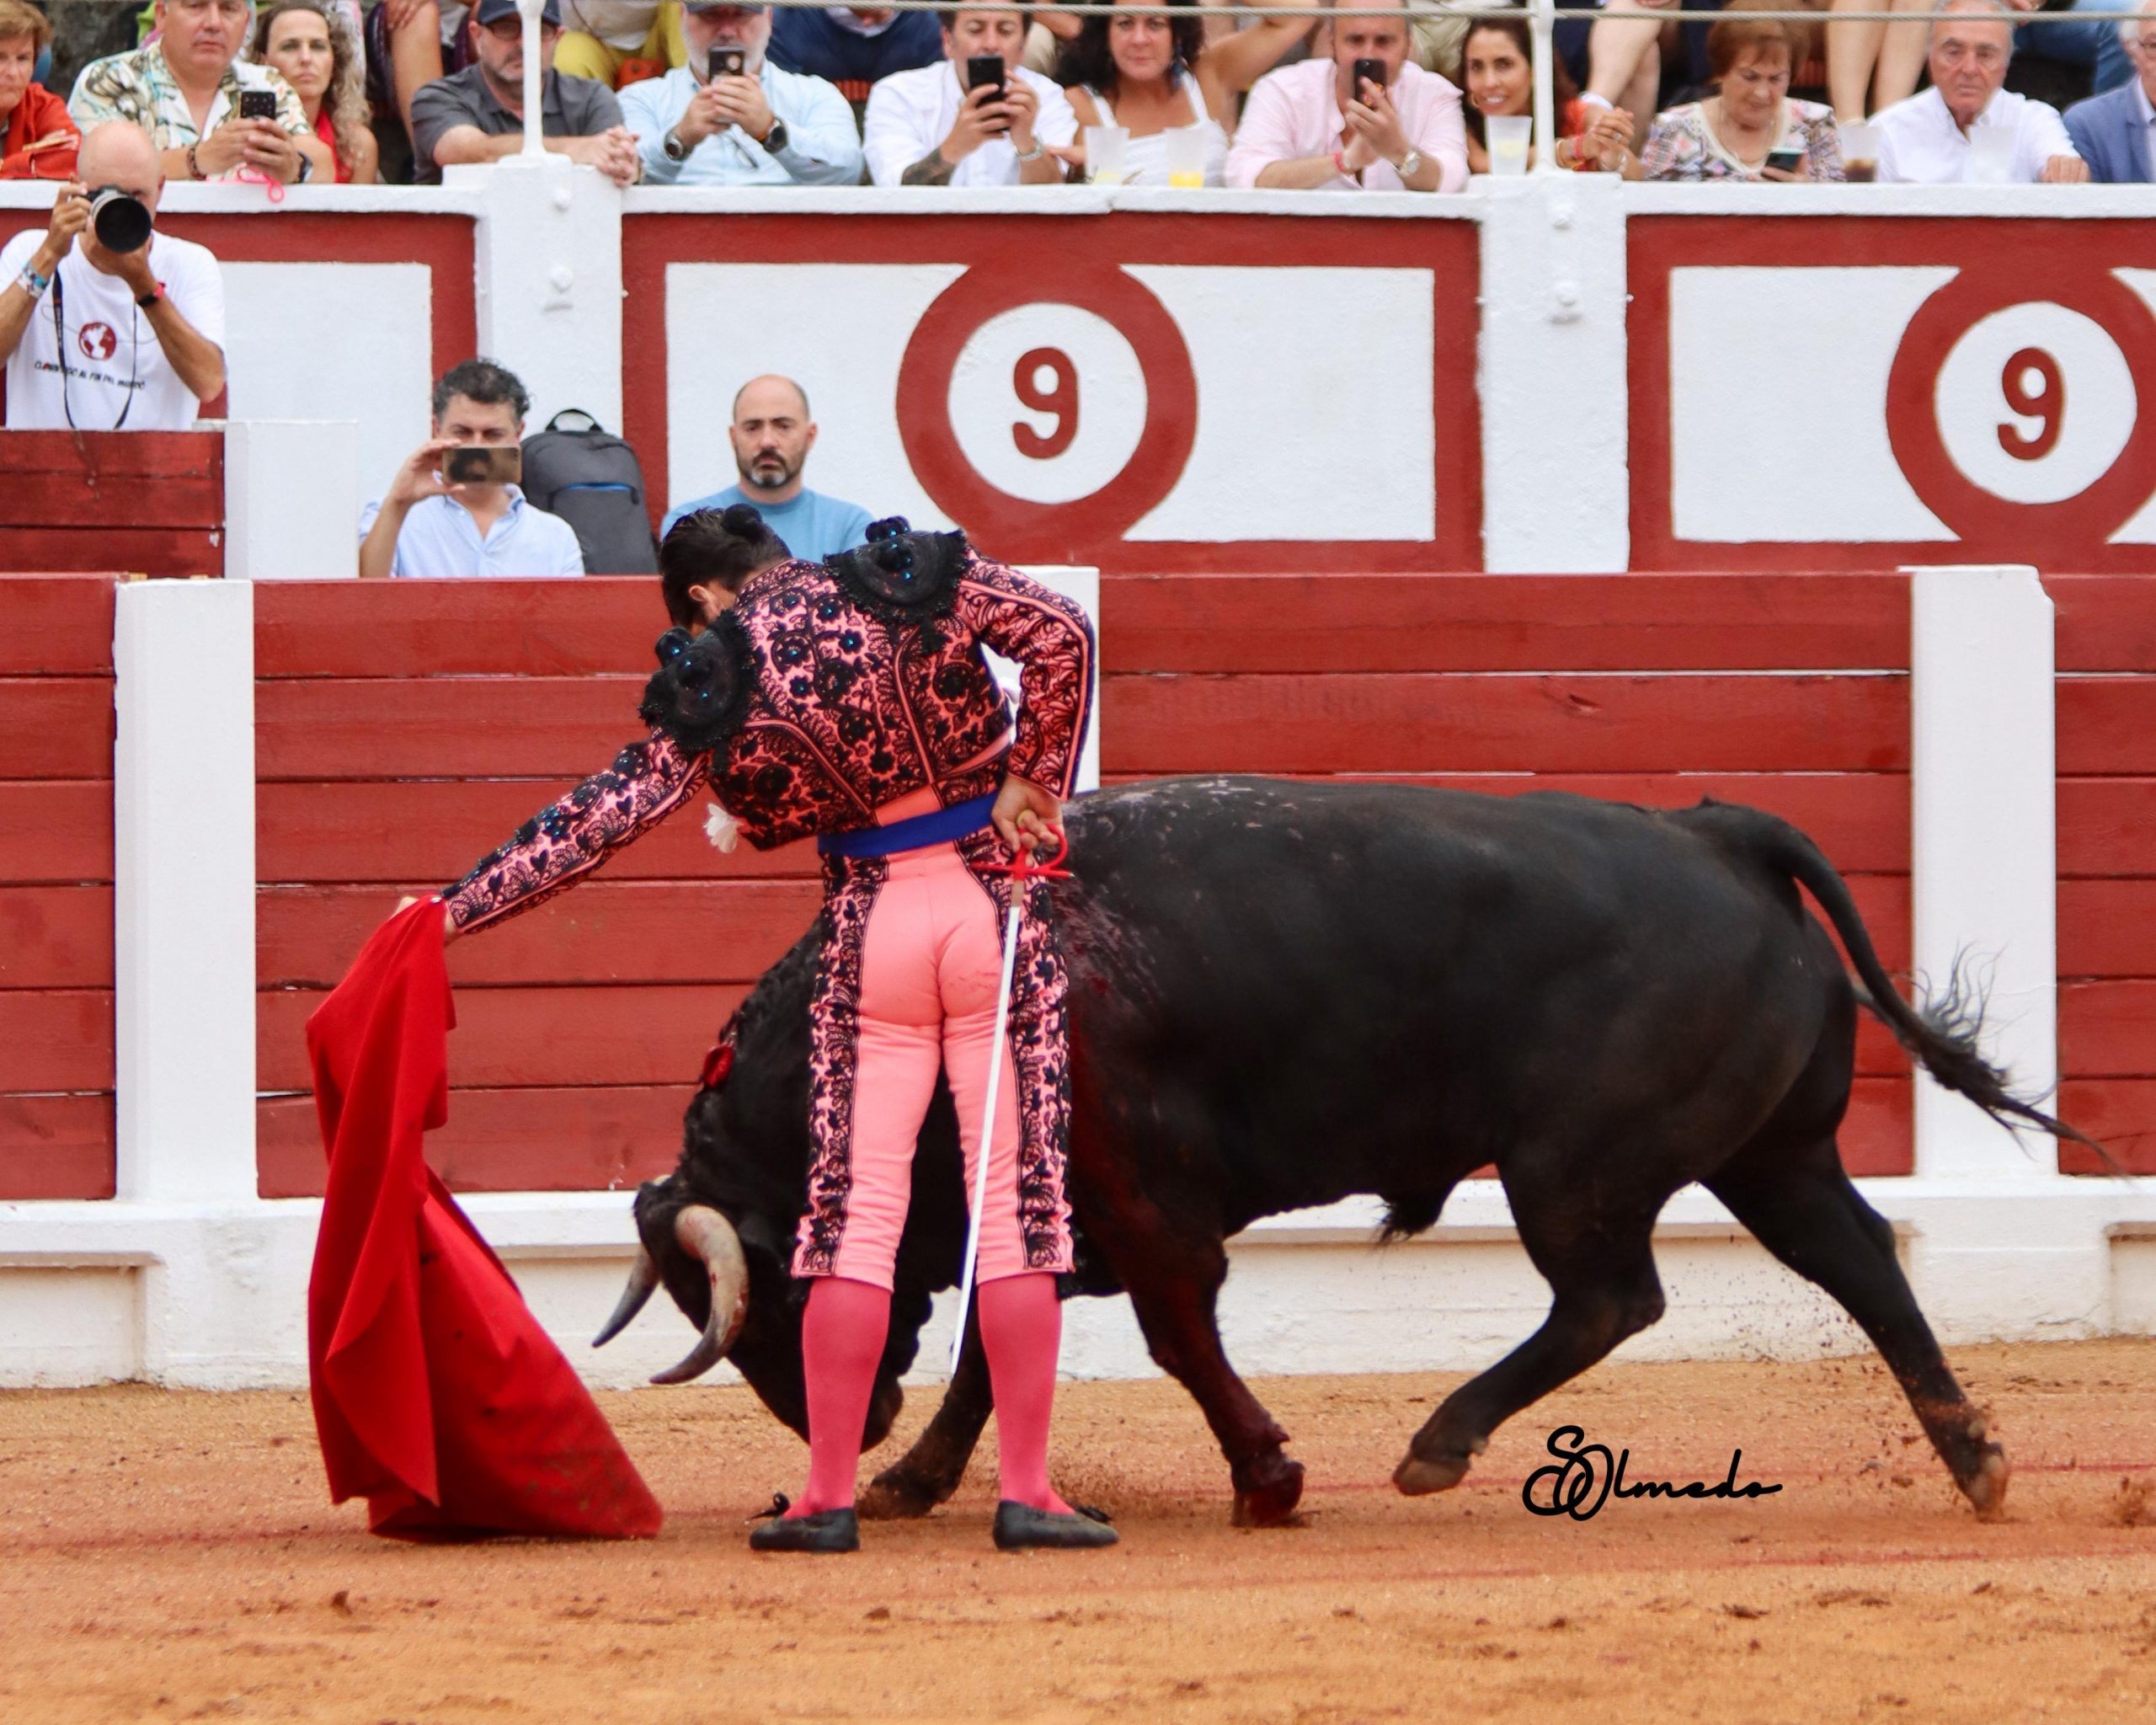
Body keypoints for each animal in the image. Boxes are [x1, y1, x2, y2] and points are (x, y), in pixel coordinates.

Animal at [592, 775, 2093, 1527]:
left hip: (1573, 1168)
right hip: (1772, 1154)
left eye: (761, 1299)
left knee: (1614, 1296)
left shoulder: (1145, 1211)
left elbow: (1174, 1334)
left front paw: (1269, 1480)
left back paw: (1438, 1444)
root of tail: (1717, 832)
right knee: (1861, 1260)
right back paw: (1977, 1459)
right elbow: (994, 1348)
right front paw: (913, 1483)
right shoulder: (1052, 1212)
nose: (830, 1428)